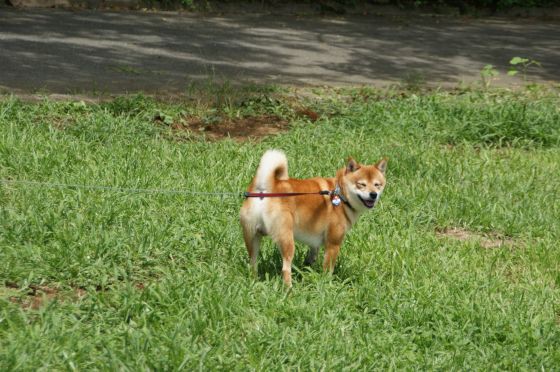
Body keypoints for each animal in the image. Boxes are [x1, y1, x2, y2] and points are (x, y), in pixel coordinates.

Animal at [238, 150, 388, 286]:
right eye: (361, 184)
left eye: (377, 185)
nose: (373, 194)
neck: (340, 193)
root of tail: (265, 187)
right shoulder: (333, 244)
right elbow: (328, 269)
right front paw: (326, 285)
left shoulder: (314, 242)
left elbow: (310, 259)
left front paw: (307, 272)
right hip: (286, 239)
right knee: (285, 268)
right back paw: (289, 290)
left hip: (252, 237)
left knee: (253, 263)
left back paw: (254, 282)